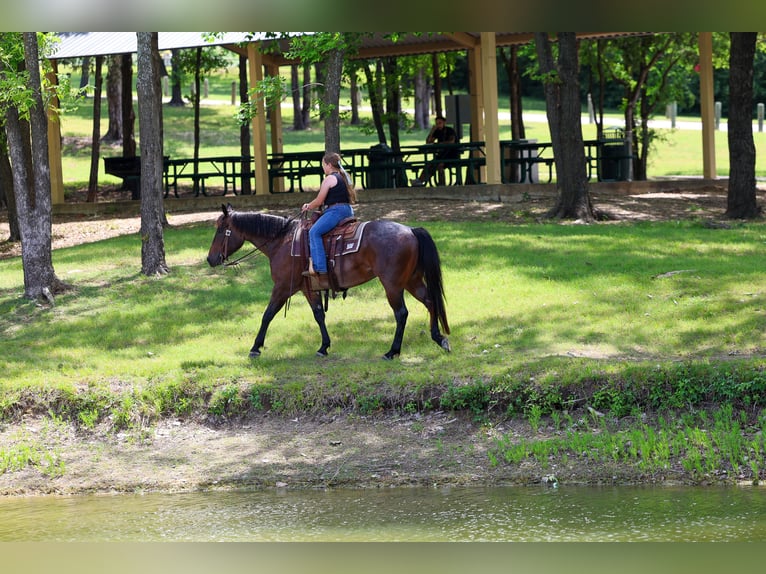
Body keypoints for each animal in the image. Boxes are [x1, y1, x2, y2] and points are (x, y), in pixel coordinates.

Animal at [206, 203, 450, 360]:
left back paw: (392, 351)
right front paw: (324, 346)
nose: (210, 259)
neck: (281, 241)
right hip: (411, 281)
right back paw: (439, 339)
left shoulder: (283, 287)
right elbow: (318, 315)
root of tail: (410, 230)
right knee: (430, 302)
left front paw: (255, 347)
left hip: (392, 285)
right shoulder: (307, 288)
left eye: (221, 230)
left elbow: (268, 314)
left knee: (401, 314)